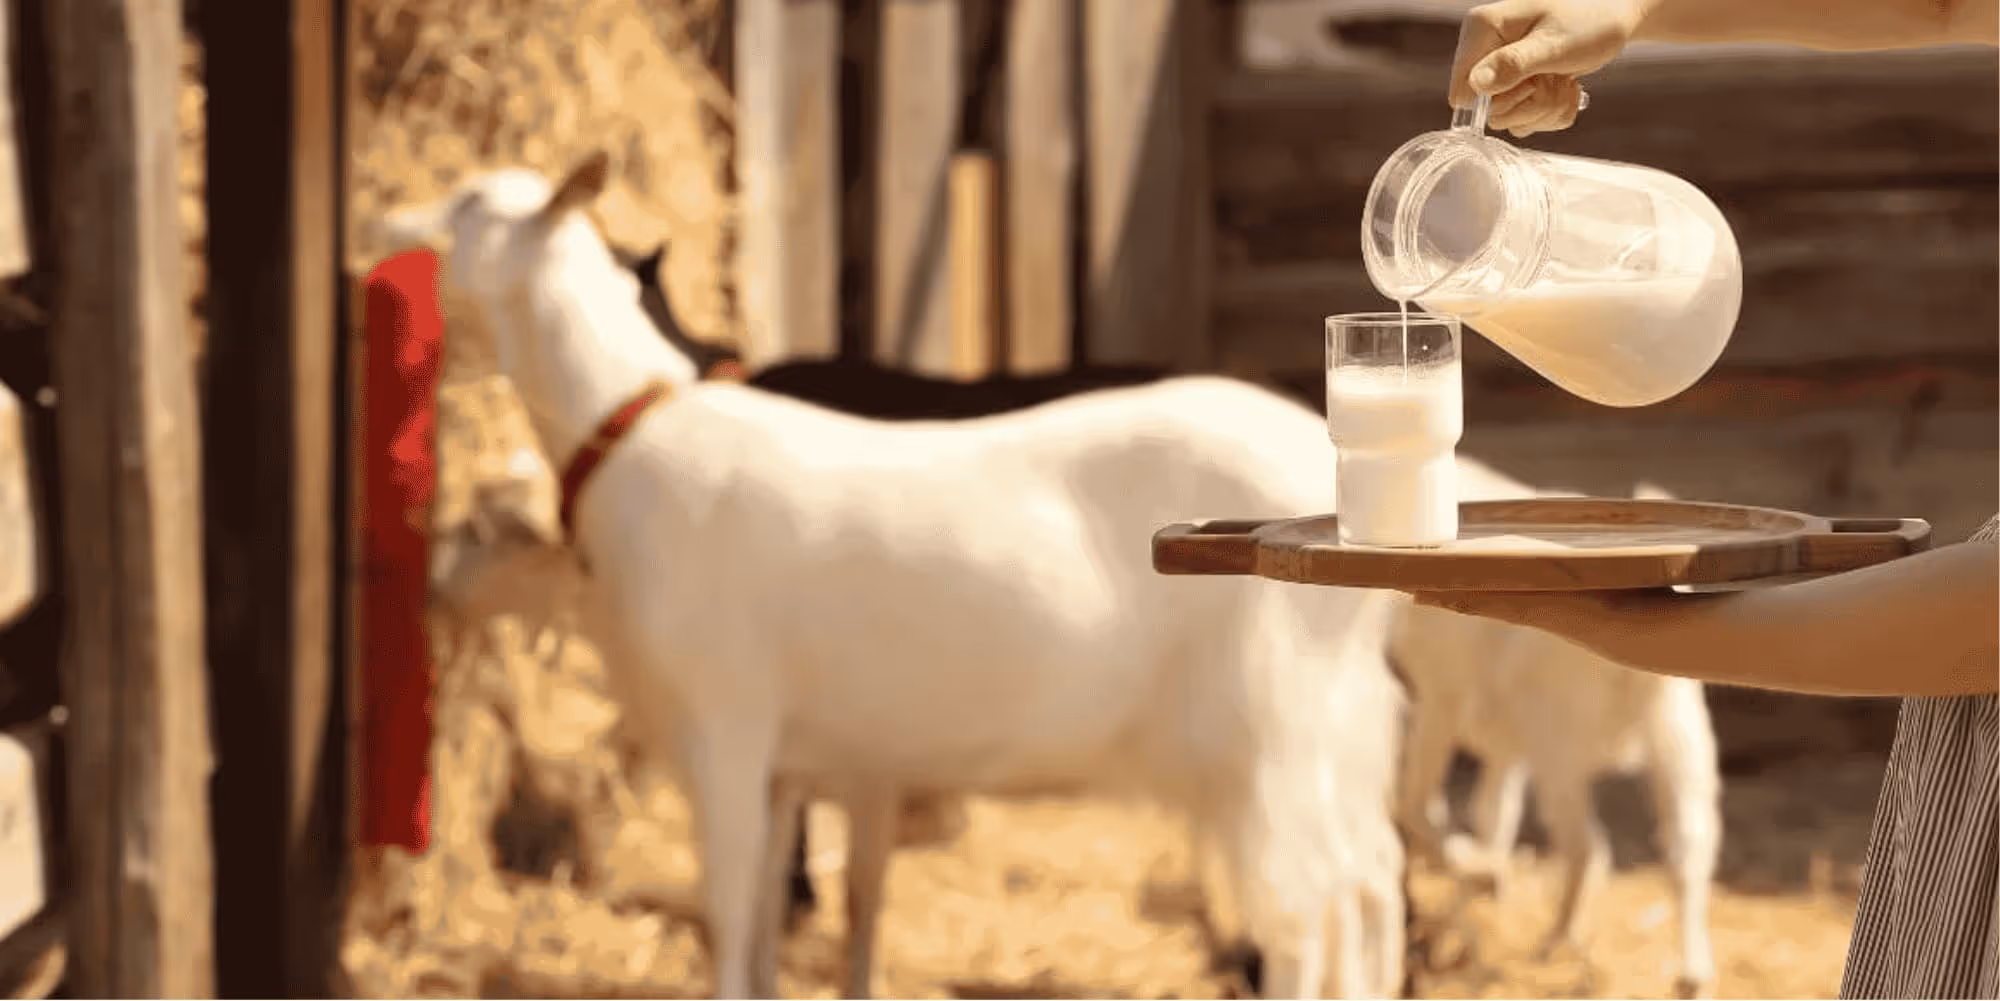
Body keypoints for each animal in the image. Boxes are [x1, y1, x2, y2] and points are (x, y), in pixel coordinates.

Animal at [385, 151, 1410, 1000]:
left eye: (472, 203)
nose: (389, 222)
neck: (628, 433)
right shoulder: (787, 763)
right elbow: (767, 919)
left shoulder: (726, 727)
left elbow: (728, 907)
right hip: (1336, 729)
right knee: (1369, 881)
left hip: (1267, 734)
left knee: (1306, 909)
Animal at [1390, 473, 1722, 999]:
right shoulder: (1504, 744)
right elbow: (1493, 815)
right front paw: (1483, 888)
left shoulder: (1440, 702)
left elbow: (1422, 808)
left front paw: (1473, 875)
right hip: (1680, 742)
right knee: (1688, 848)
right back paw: (1691, 974)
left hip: (1560, 748)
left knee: (1588, 846)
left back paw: (1555, 941)